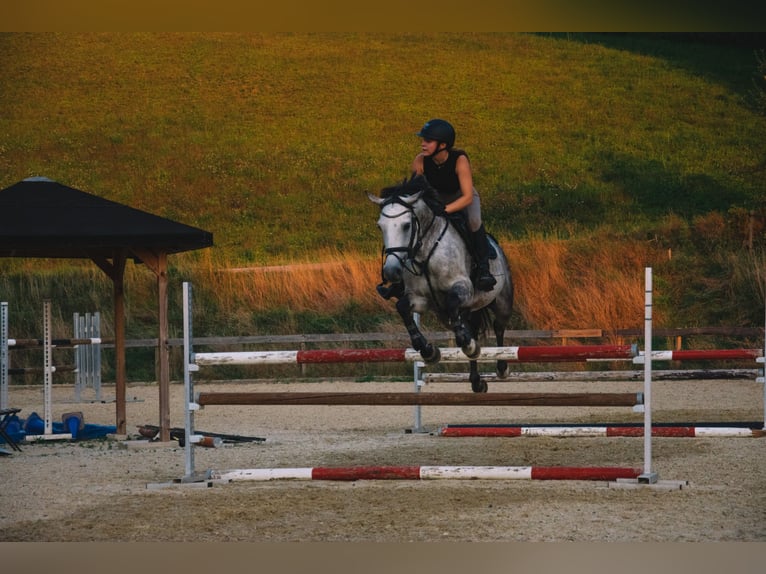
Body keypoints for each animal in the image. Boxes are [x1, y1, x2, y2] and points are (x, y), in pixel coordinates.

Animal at [368, 173, 516, 394]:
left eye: (406, 225)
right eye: (380, 226)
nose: (391, 272)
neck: (425, 252)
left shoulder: (463, 288)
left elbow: (452, 302)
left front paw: (468, 345)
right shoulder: (421, 299)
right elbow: (402, 307)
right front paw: (428, 350)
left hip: (501, 301)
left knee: (499, 326)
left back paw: (501, 366)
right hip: (450, 315)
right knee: (470, 327)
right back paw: (476, 380)